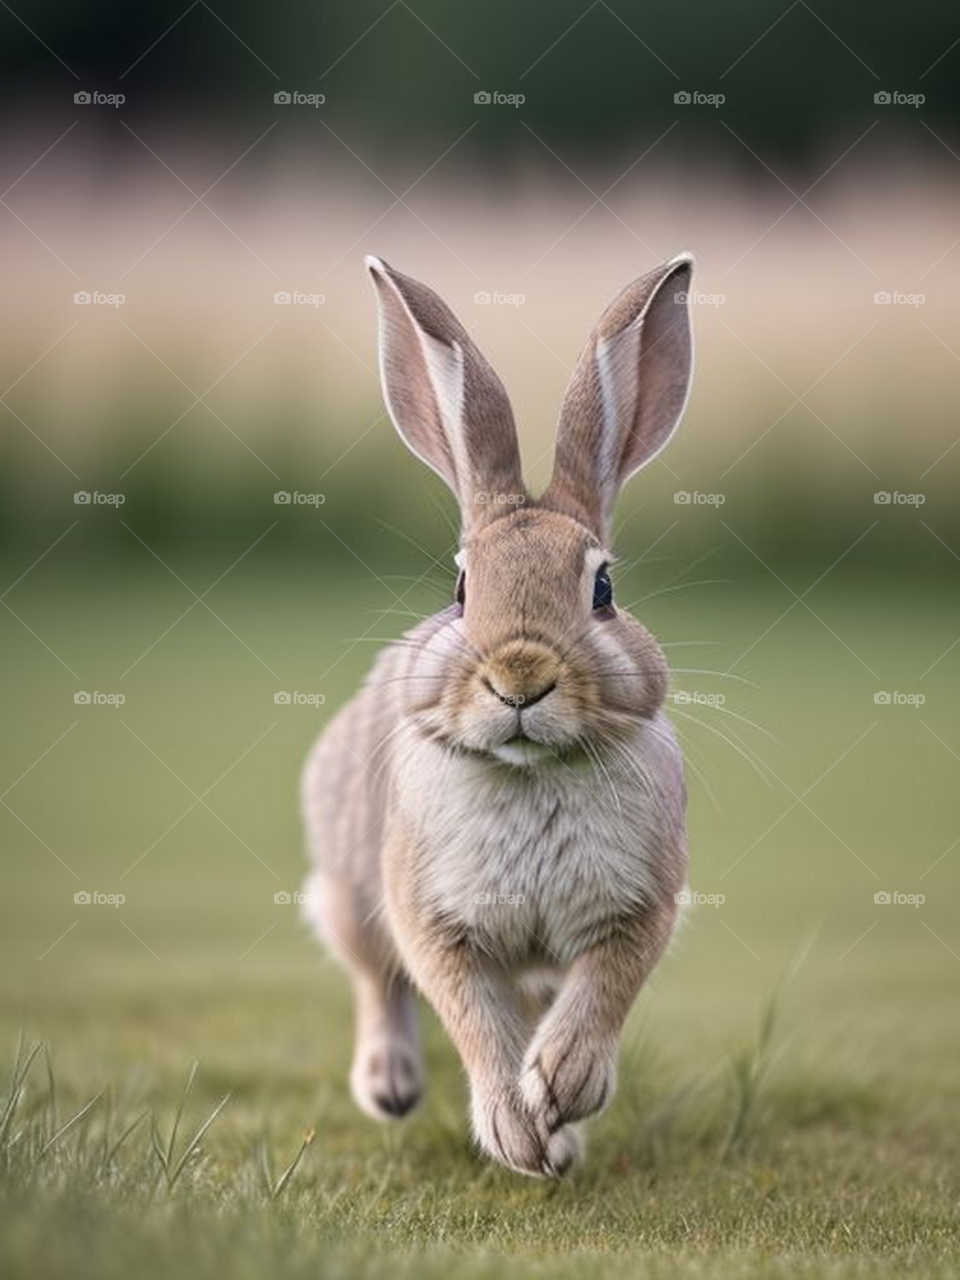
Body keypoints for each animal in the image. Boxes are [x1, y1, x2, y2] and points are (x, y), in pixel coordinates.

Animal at [301, 253, 694, 1177]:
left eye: (603, 588)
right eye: (460, 587)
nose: (520, 678)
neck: (531, 771)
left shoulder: (643, 906)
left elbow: (605, 987)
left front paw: (563, 1089)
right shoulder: (429, 916)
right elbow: (469, 1012)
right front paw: (517, 1130)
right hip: (347, 889)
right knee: (376, 981)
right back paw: (391, 1087)